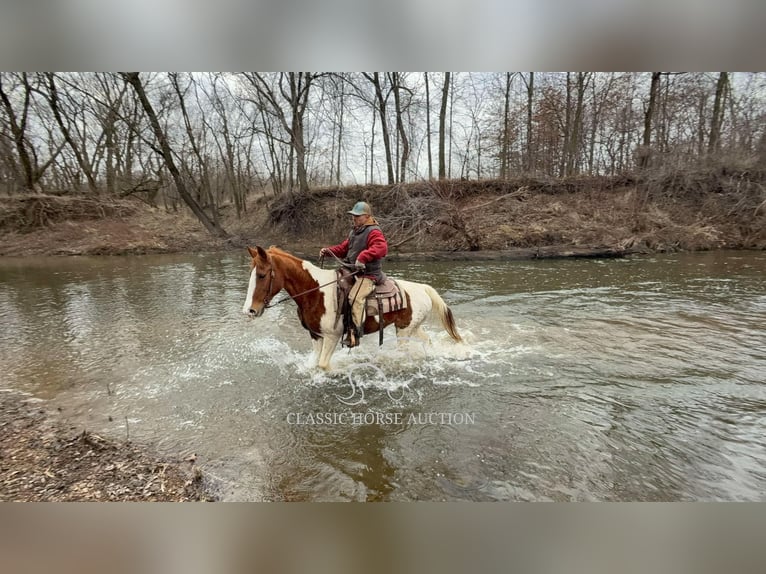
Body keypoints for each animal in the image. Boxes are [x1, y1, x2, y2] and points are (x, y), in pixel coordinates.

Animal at [244, 245, 462, 372]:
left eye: (262, 275)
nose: (250, 311)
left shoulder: (332, 336)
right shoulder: (316, 335)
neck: (316, 292)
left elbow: (323, 365)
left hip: (404, 331)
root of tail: (423, 288)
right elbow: (314, 363)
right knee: (427, 341)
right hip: (412, 327)